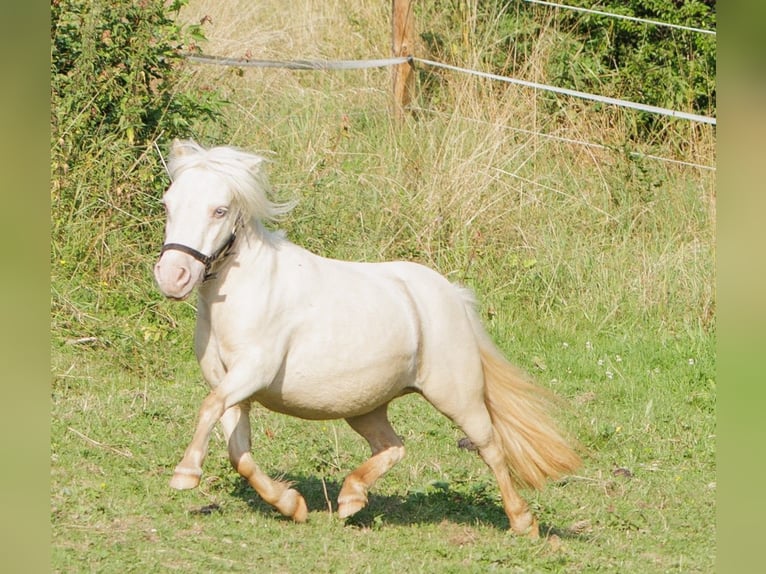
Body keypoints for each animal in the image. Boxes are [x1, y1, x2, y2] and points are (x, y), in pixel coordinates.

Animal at [153, 139, 580, 537]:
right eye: (168, 204)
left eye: (219, 210)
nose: (173, 277)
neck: (244, 291)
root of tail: (451, 296)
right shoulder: (230, 384)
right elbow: (238, 452)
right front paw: (291, 504)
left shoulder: (253, 371)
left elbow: (209, 409)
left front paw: (185, 474)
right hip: (364, 406)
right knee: (393, 445)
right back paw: (351, 497)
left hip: (457, 397)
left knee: (490, 447)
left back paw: (522, 521)